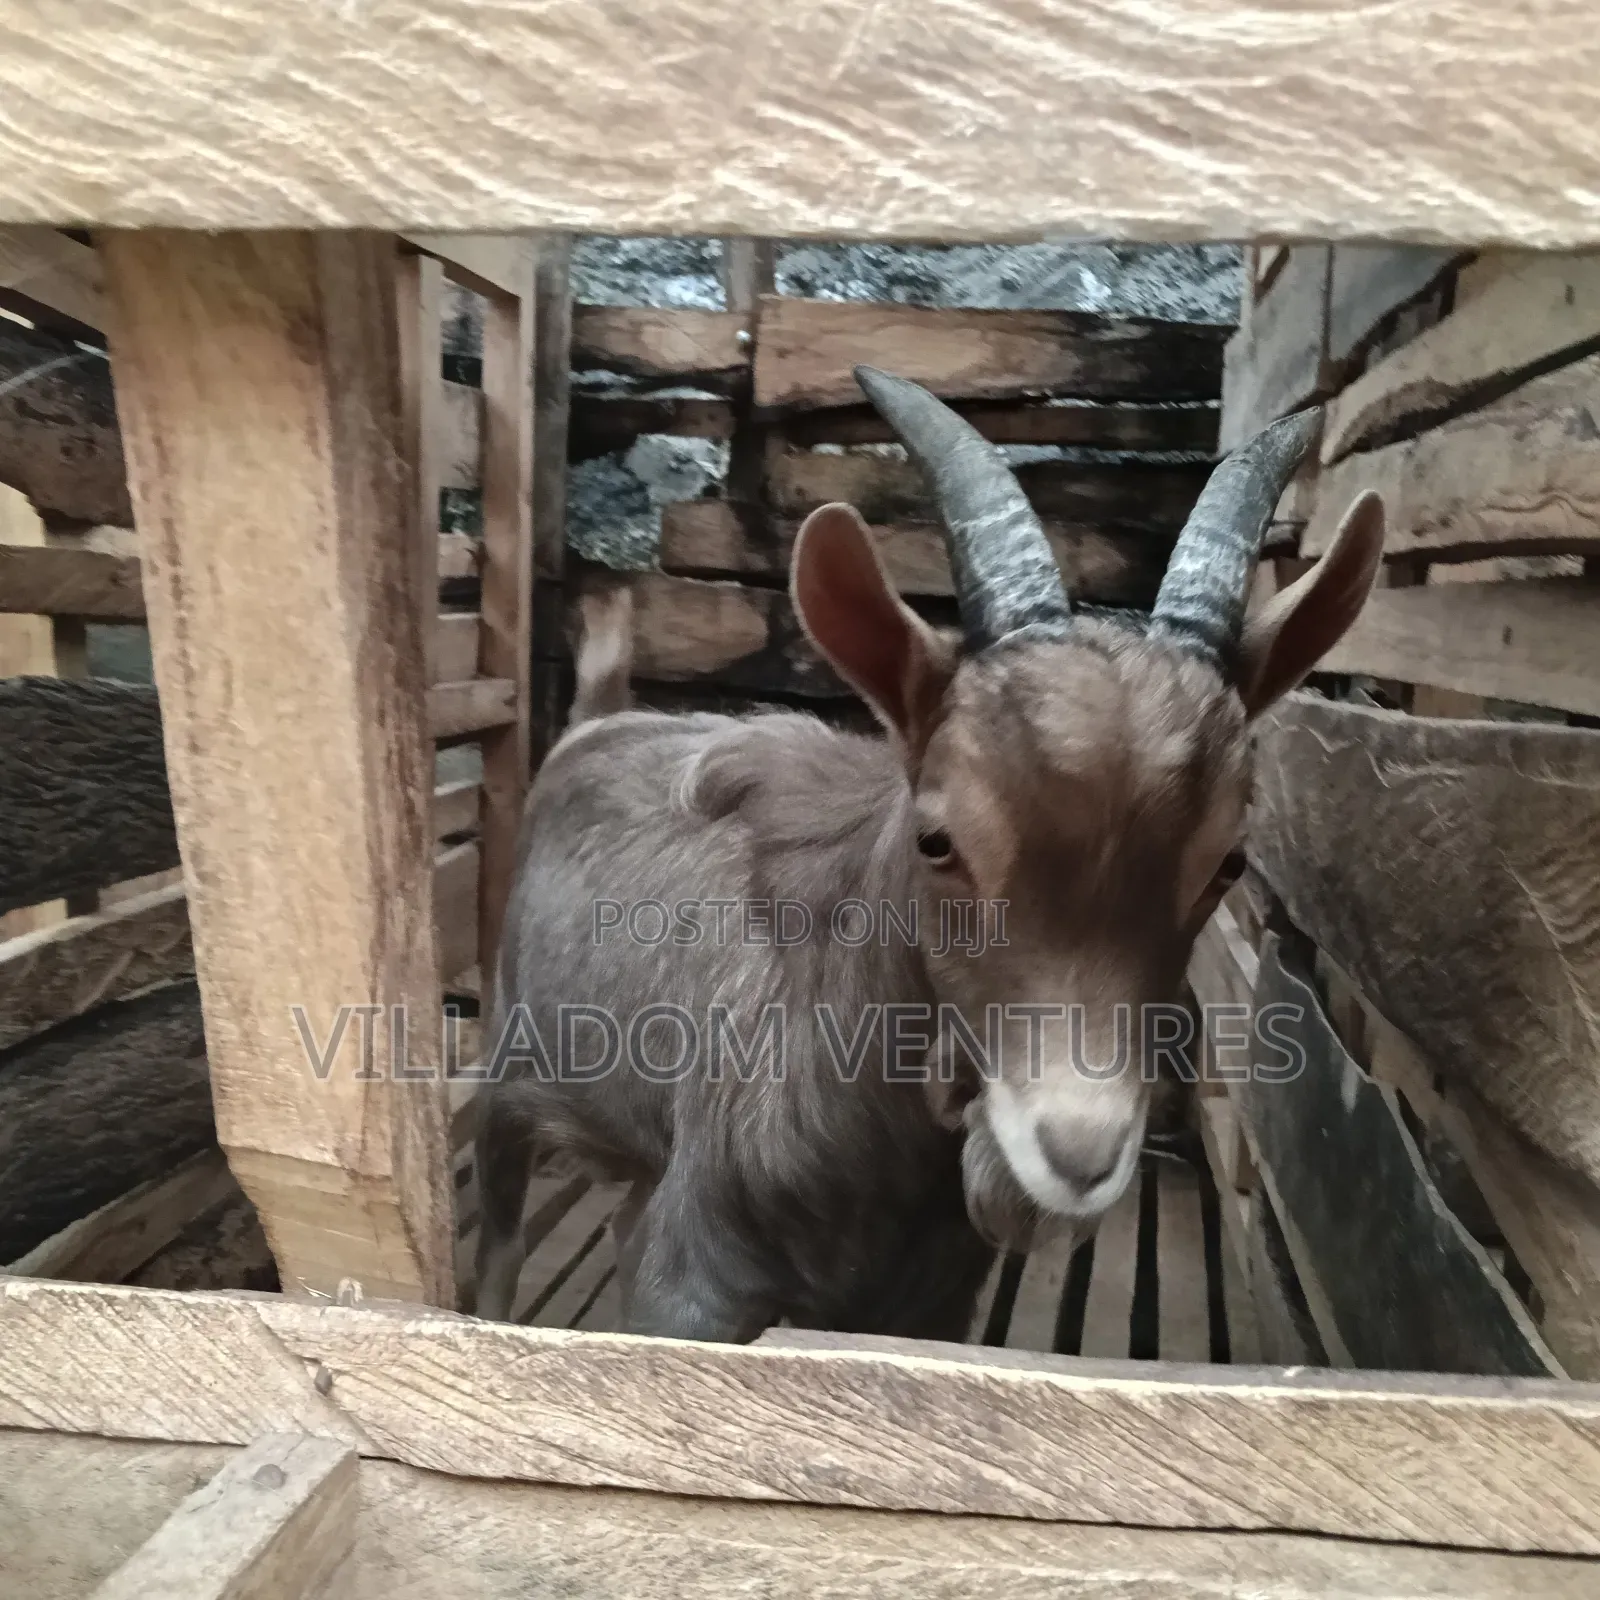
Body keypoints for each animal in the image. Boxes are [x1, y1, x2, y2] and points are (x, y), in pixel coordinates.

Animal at [473, 368, 1385, 1341]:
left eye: (1227, 864)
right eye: (937, 841)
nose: (1079, 1152)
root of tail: (598, 722)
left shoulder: (930, 1309)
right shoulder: (690, 1290)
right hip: (510, 1067)